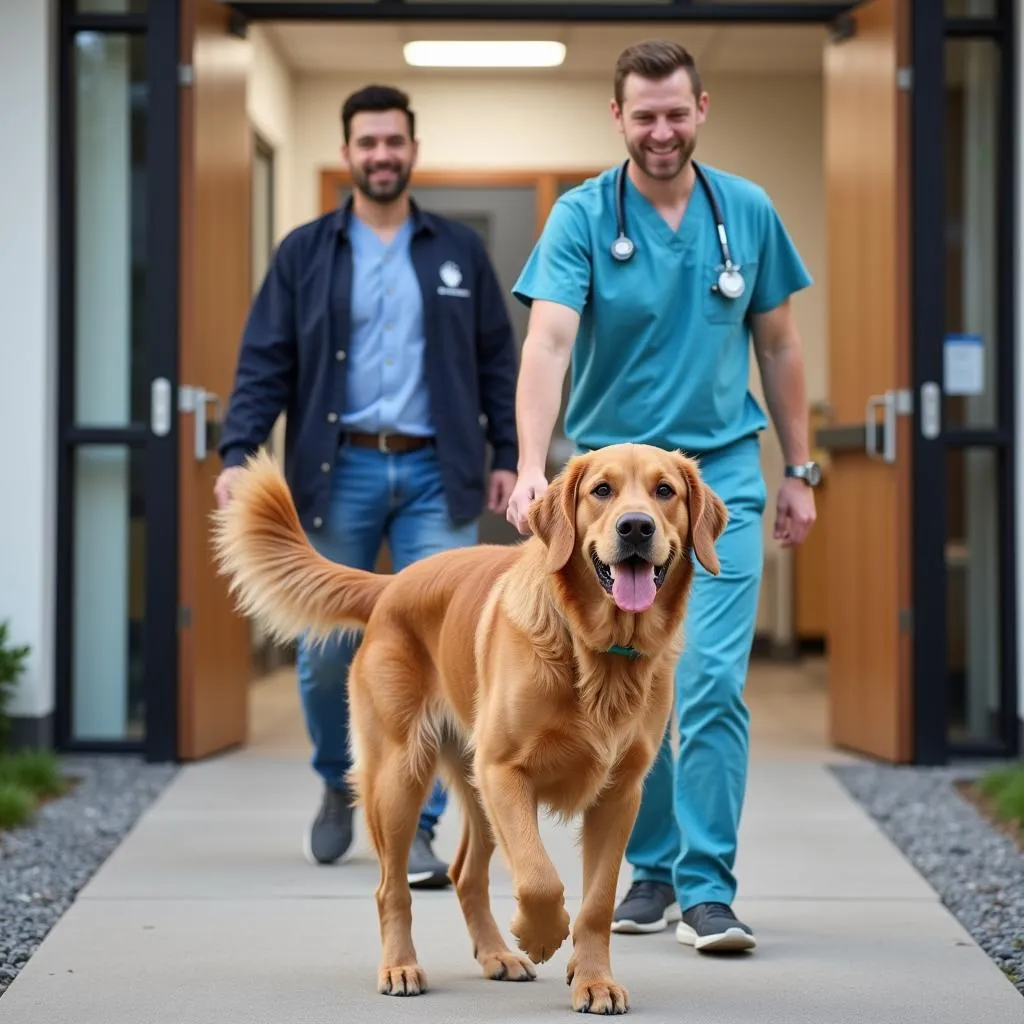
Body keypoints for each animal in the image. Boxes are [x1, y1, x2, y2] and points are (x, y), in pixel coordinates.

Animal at [211, 442, 729, 1015]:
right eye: (602, 490)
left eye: (665, 491)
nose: (636, 527)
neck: (596, 653)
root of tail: (394, 583)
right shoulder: (504, 770)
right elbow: (539, 877)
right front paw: (542, 934)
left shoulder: (619, 794)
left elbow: (597, 902)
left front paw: (594, 980)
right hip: (401, 777)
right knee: (391, 888)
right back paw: (401, 966)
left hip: (474, 789)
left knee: (465, 875)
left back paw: (496, 955)